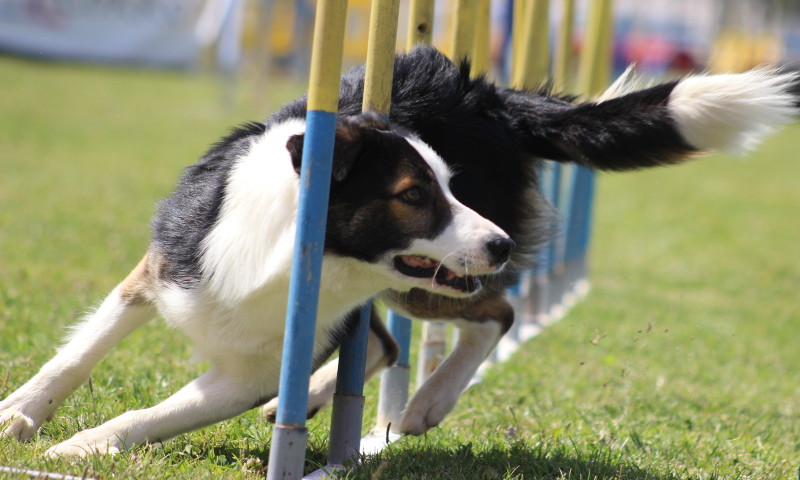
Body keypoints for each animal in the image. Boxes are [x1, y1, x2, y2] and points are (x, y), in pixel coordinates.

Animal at [0, 46, 796, 458]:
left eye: (449, 185)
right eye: (414, 194)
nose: (502, 242)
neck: (285, 245)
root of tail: (490, 96)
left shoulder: (251, 369)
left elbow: (151, 415)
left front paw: (79, 449)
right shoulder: (165, 269)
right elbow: (76, 355)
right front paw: (19, 417)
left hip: (435, 283)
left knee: (496, 315)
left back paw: (424, 407)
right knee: (384, 342)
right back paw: (329, 397)